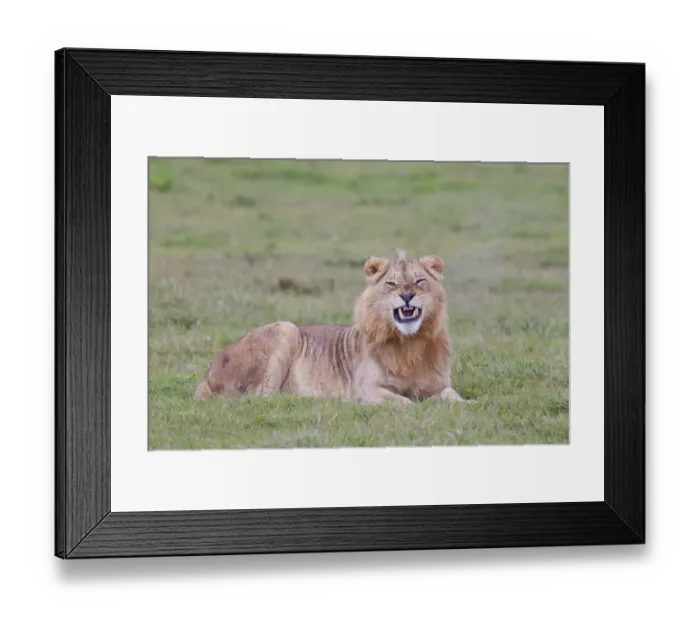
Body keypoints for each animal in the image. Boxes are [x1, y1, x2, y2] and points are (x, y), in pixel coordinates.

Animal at [194, 248, 465, 406]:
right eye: (391, 283)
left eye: (419, 281)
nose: (407, 295)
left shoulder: (440, 385)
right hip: (286, 329)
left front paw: (465, 404)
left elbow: (454, 397)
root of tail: (206, 377)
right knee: (259, 398)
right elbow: (404, 403)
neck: (409, 344)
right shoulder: (364, 388)